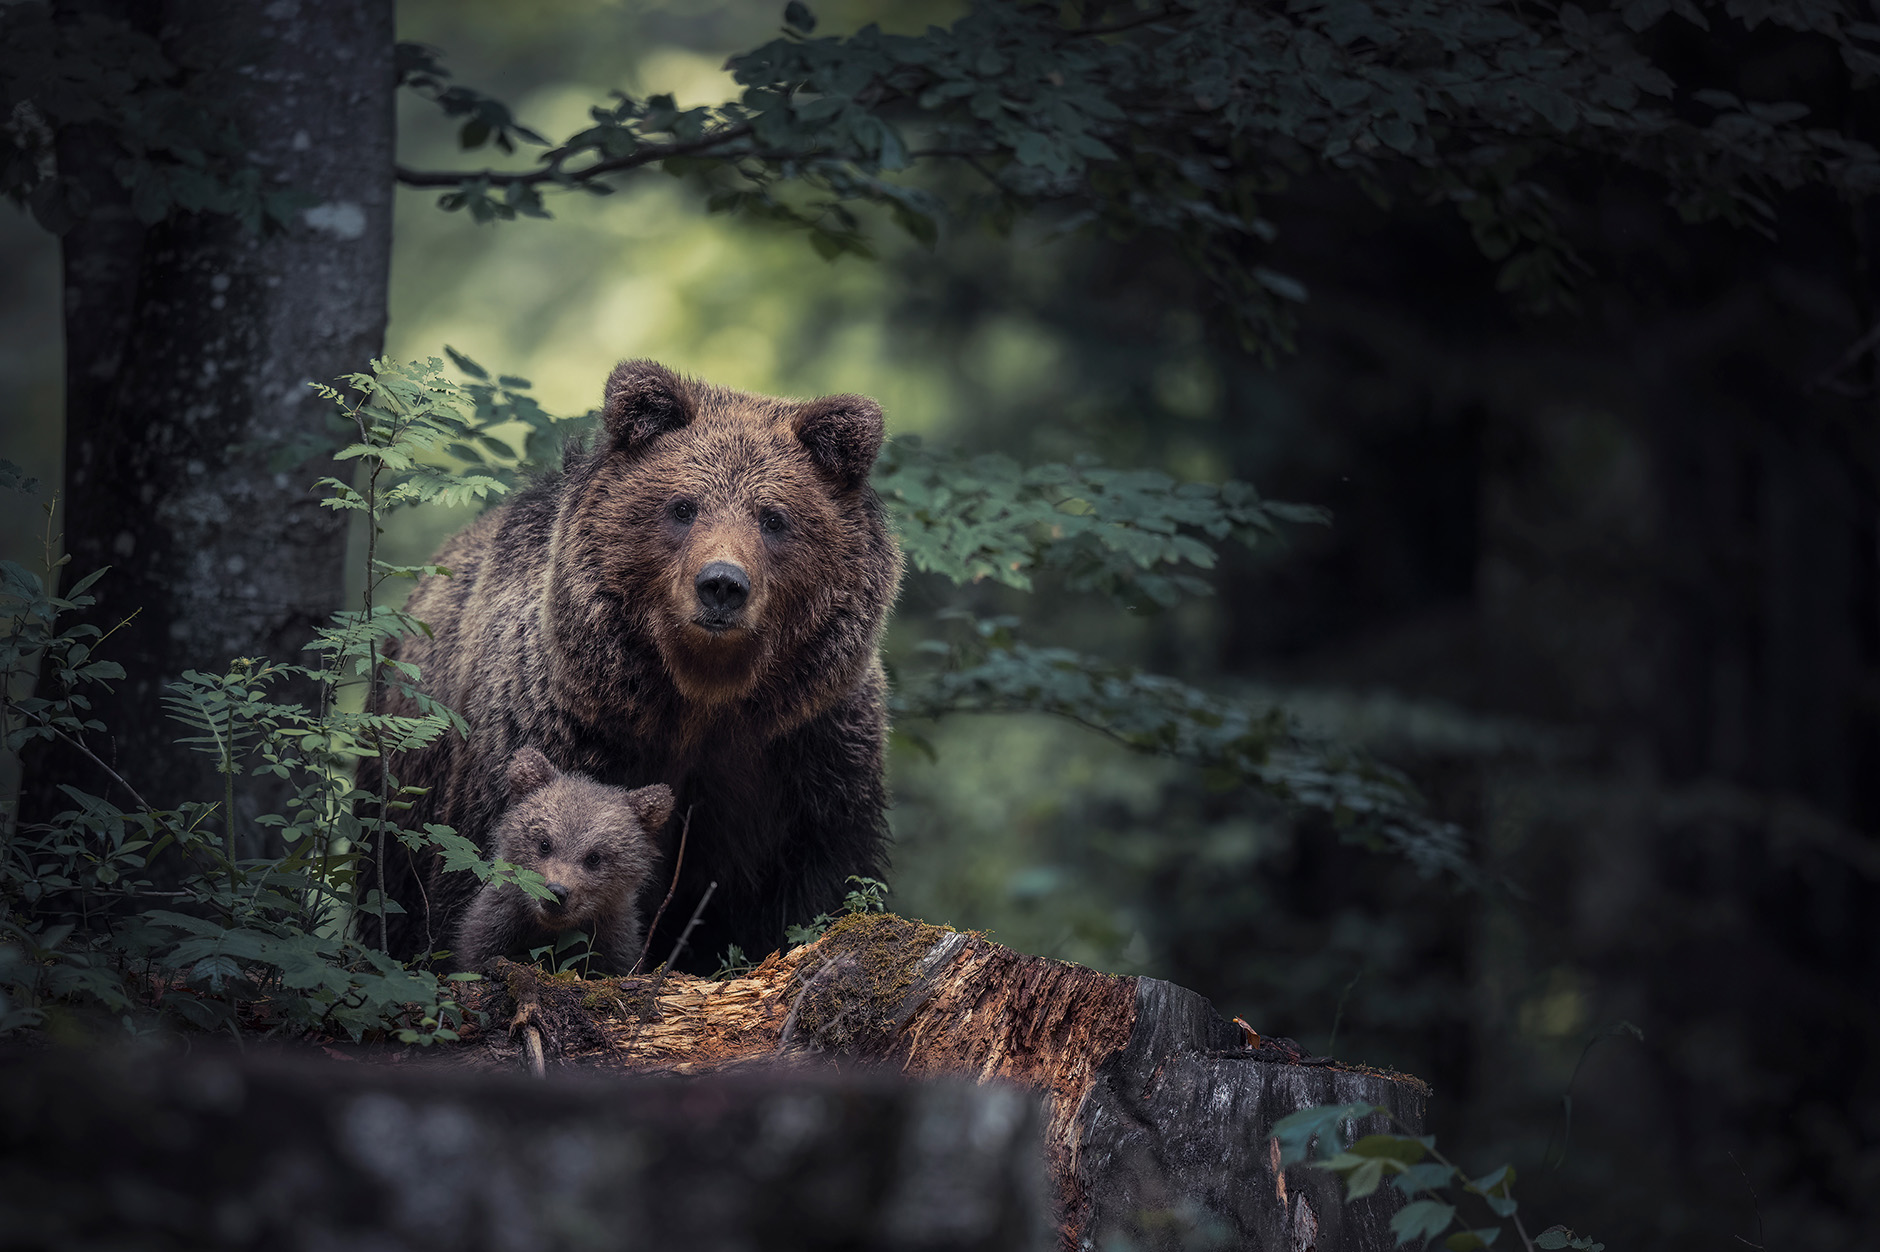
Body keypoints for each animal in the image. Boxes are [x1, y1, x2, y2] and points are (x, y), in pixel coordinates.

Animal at [453, 744, 673, 970]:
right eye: (544, 844)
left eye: (594, 857)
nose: (556, 892)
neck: (548, 931)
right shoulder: (495, 924)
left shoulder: (613, 943)